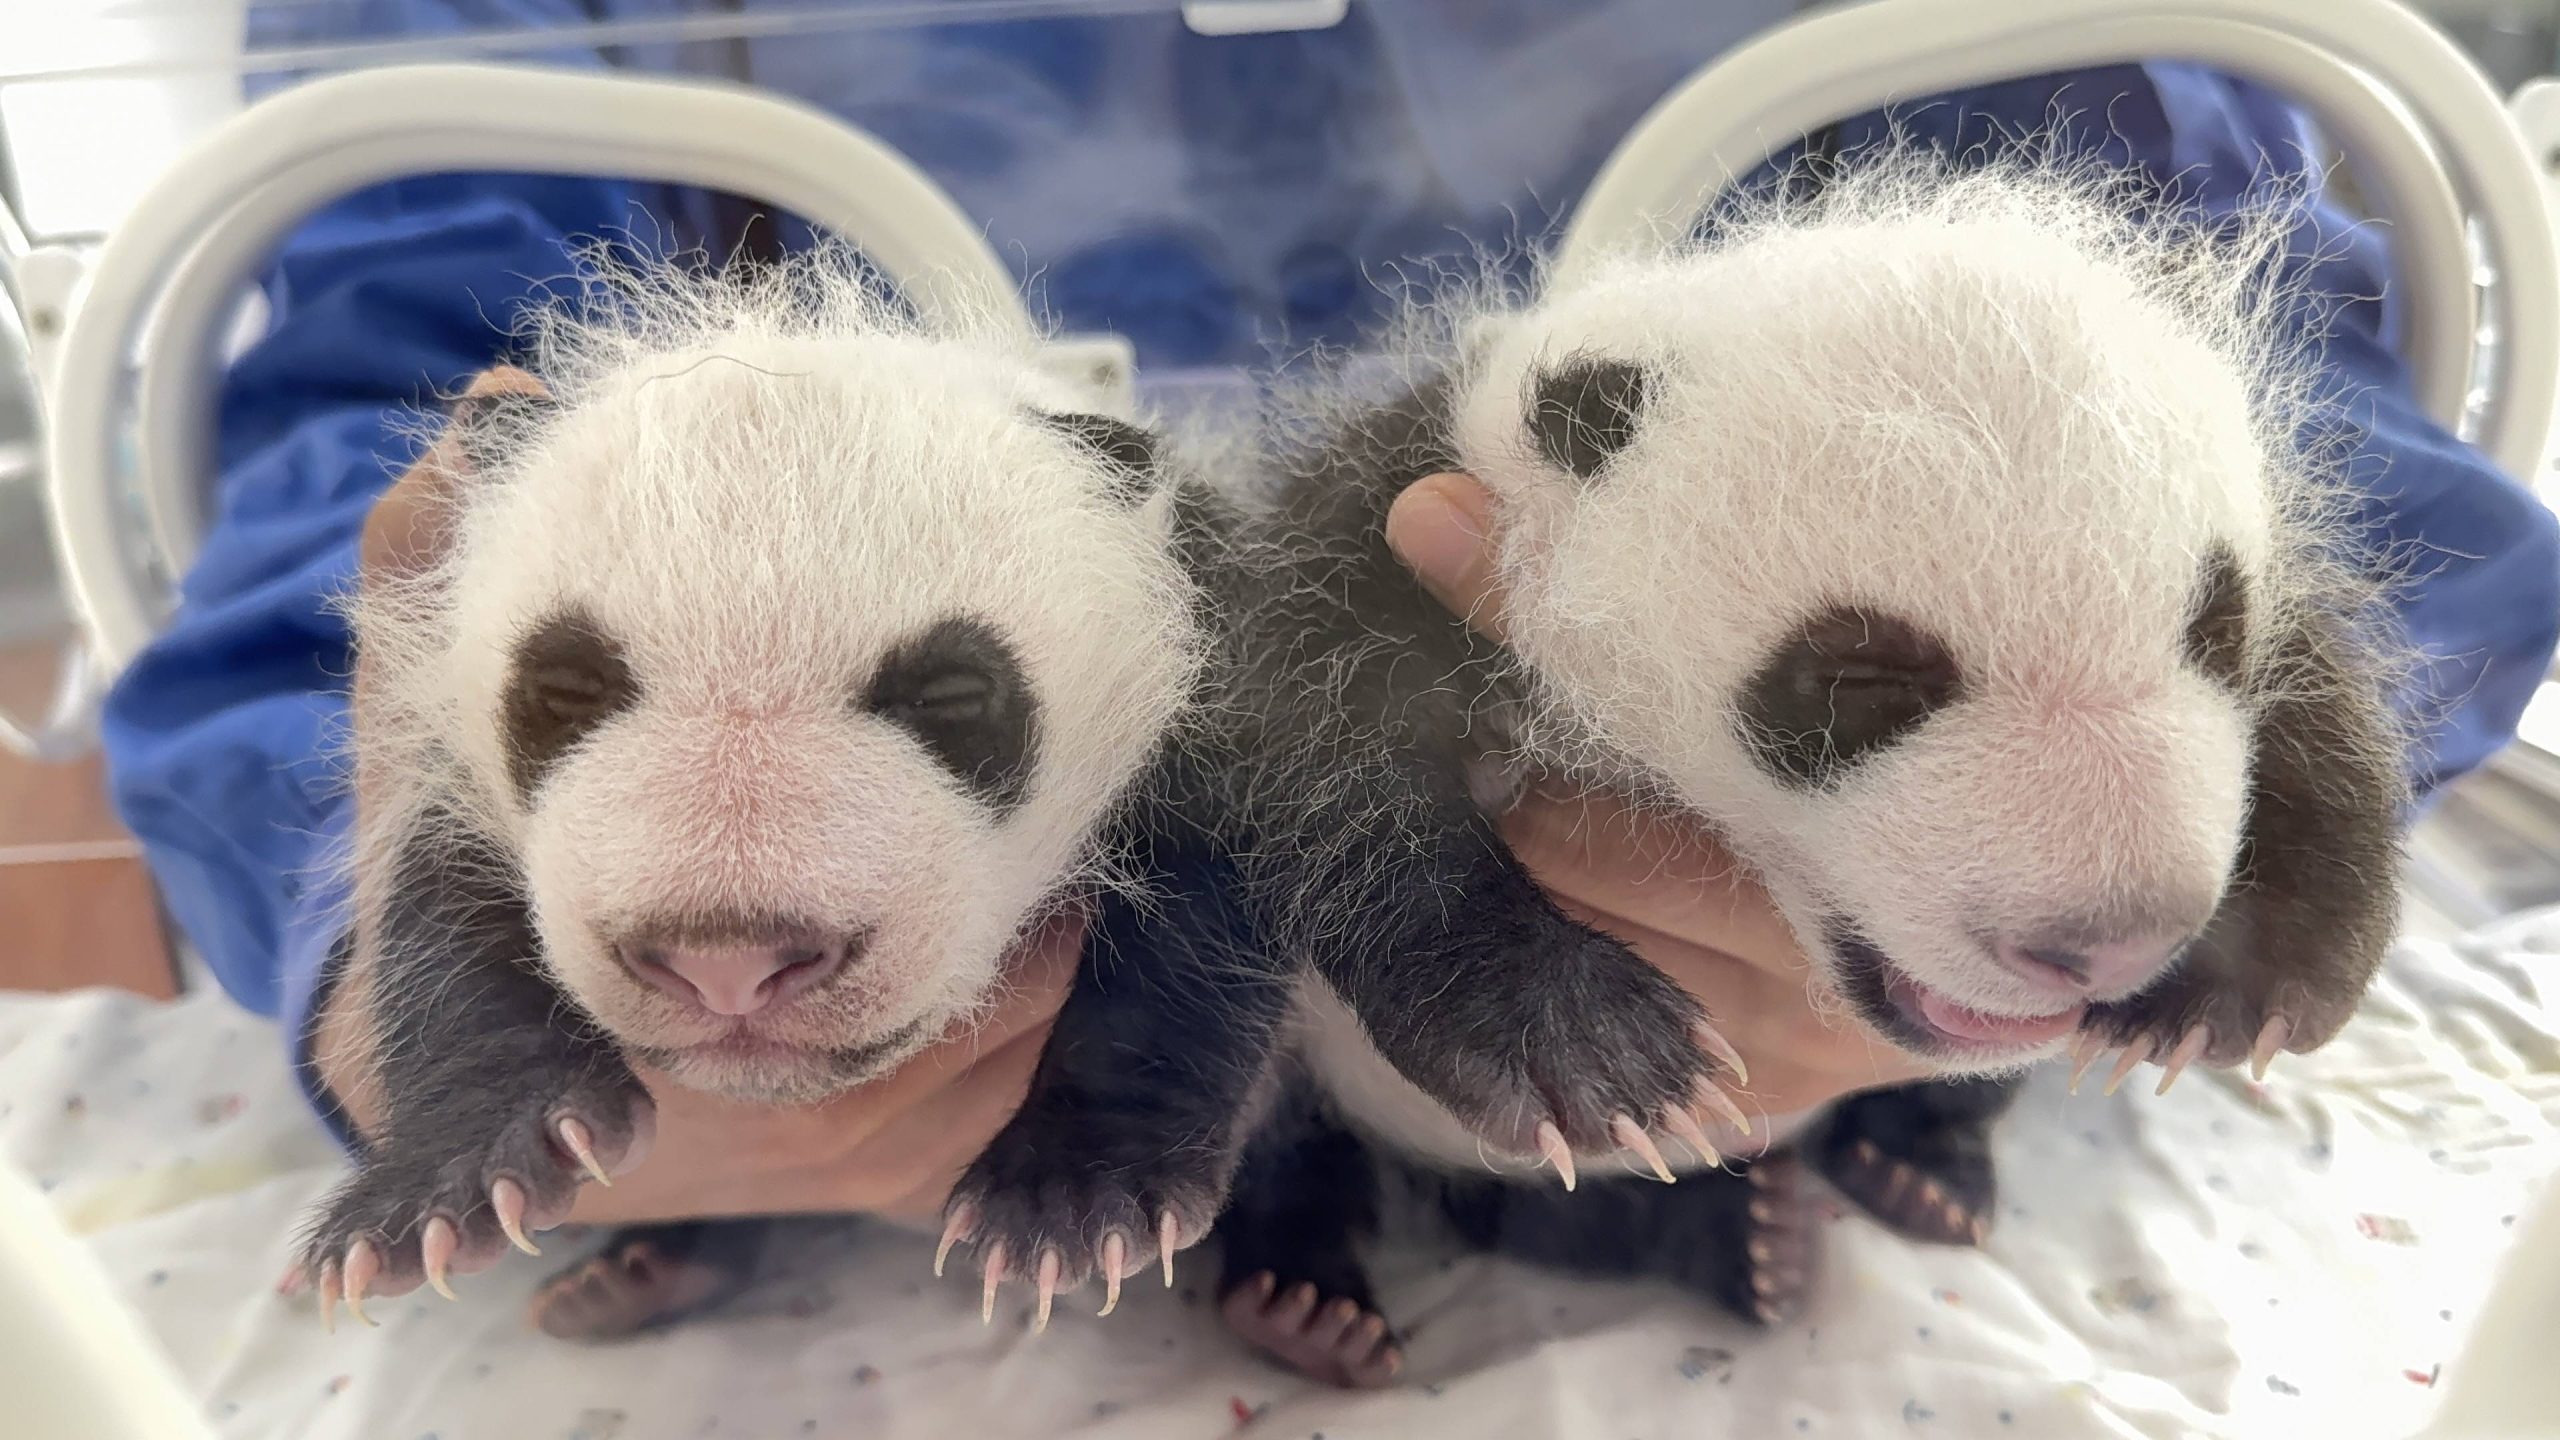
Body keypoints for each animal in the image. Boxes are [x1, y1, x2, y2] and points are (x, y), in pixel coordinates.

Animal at [290, 250, 1297, 1338]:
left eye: (951, 694)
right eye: (564, 689)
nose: (729, 965)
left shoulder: (1212, 651)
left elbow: (1208, 914)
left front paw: (1070, 1199)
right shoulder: (446, 738)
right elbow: (441, 908)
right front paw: (449, 1181)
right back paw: (640, 1275)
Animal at [1199, 150, 2410, 1387]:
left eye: (2213, 628)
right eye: (1862, 683)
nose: (2112, 940)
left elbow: (2317, 684)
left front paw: (2258, 973)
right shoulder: (1422, 506)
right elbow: (1306, 721)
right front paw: (1580, 1041)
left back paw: (1865, 1195)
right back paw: (1307, 1290)